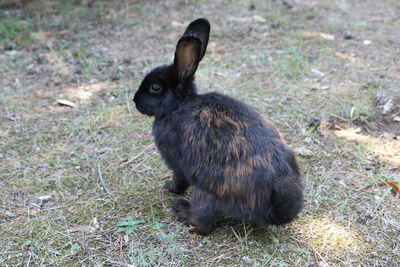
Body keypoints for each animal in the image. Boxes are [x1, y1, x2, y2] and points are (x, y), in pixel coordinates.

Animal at [132, 17, 304, 236]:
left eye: (155, 87)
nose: (135, 100)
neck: (179, 105)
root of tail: (268, 206)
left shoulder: (177, 165)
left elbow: (179, 180)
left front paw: (169, 187)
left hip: (207, 193)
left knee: (204, 223)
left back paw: (182, 210)